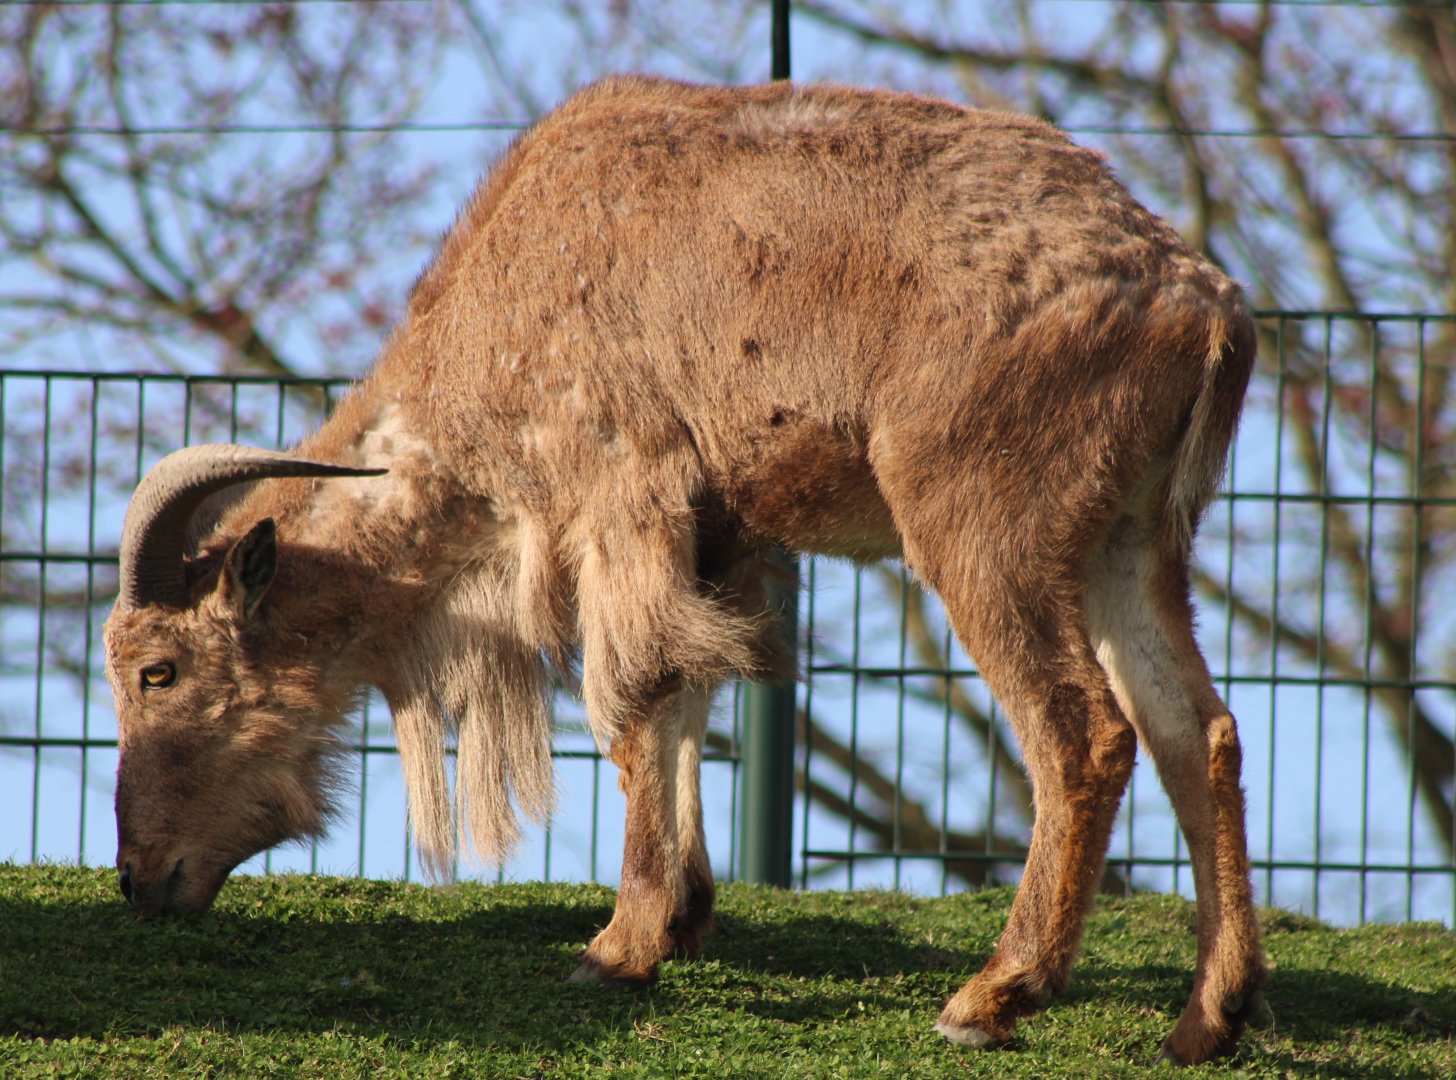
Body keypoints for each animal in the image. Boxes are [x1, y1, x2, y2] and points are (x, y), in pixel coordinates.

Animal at [103, 75, 1265, 1065]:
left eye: (160, 671)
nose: (140, 879)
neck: (508, 299)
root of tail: (1205, 306)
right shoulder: (722, 539)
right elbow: (694, 703)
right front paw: (688, 916)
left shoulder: (620, 496)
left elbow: (631, 705)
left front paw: (620, 946)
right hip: (1131, 546)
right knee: (1195, 730)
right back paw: (1209, 1016)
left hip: (984, 525)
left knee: (1081, 731)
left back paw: (993, 996)